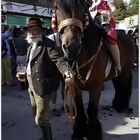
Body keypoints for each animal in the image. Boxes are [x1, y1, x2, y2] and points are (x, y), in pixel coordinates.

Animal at [50, 0, 135, 139]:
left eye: (81, 7)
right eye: (56, 7)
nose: (72, 48)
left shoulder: (96, 87)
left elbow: (91, 110)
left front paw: (93, 133)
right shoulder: (75, 86)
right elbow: (79, 108)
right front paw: (79, 131)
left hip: (126, 70)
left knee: (125, 86)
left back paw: (123, 106)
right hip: (117, 74)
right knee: (118, 87)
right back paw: (117, 104)